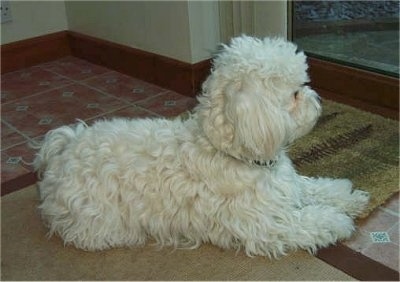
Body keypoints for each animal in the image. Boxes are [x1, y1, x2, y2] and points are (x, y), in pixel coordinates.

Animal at [33, 35, 368, 258]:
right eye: (296, 93)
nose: (317, 101)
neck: (232, 152)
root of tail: (63, 148)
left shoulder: (287, 187)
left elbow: (314, 188)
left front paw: (349, 197)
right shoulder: (265, 225)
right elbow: (308, 220)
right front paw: (337, 220)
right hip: (100, 221)